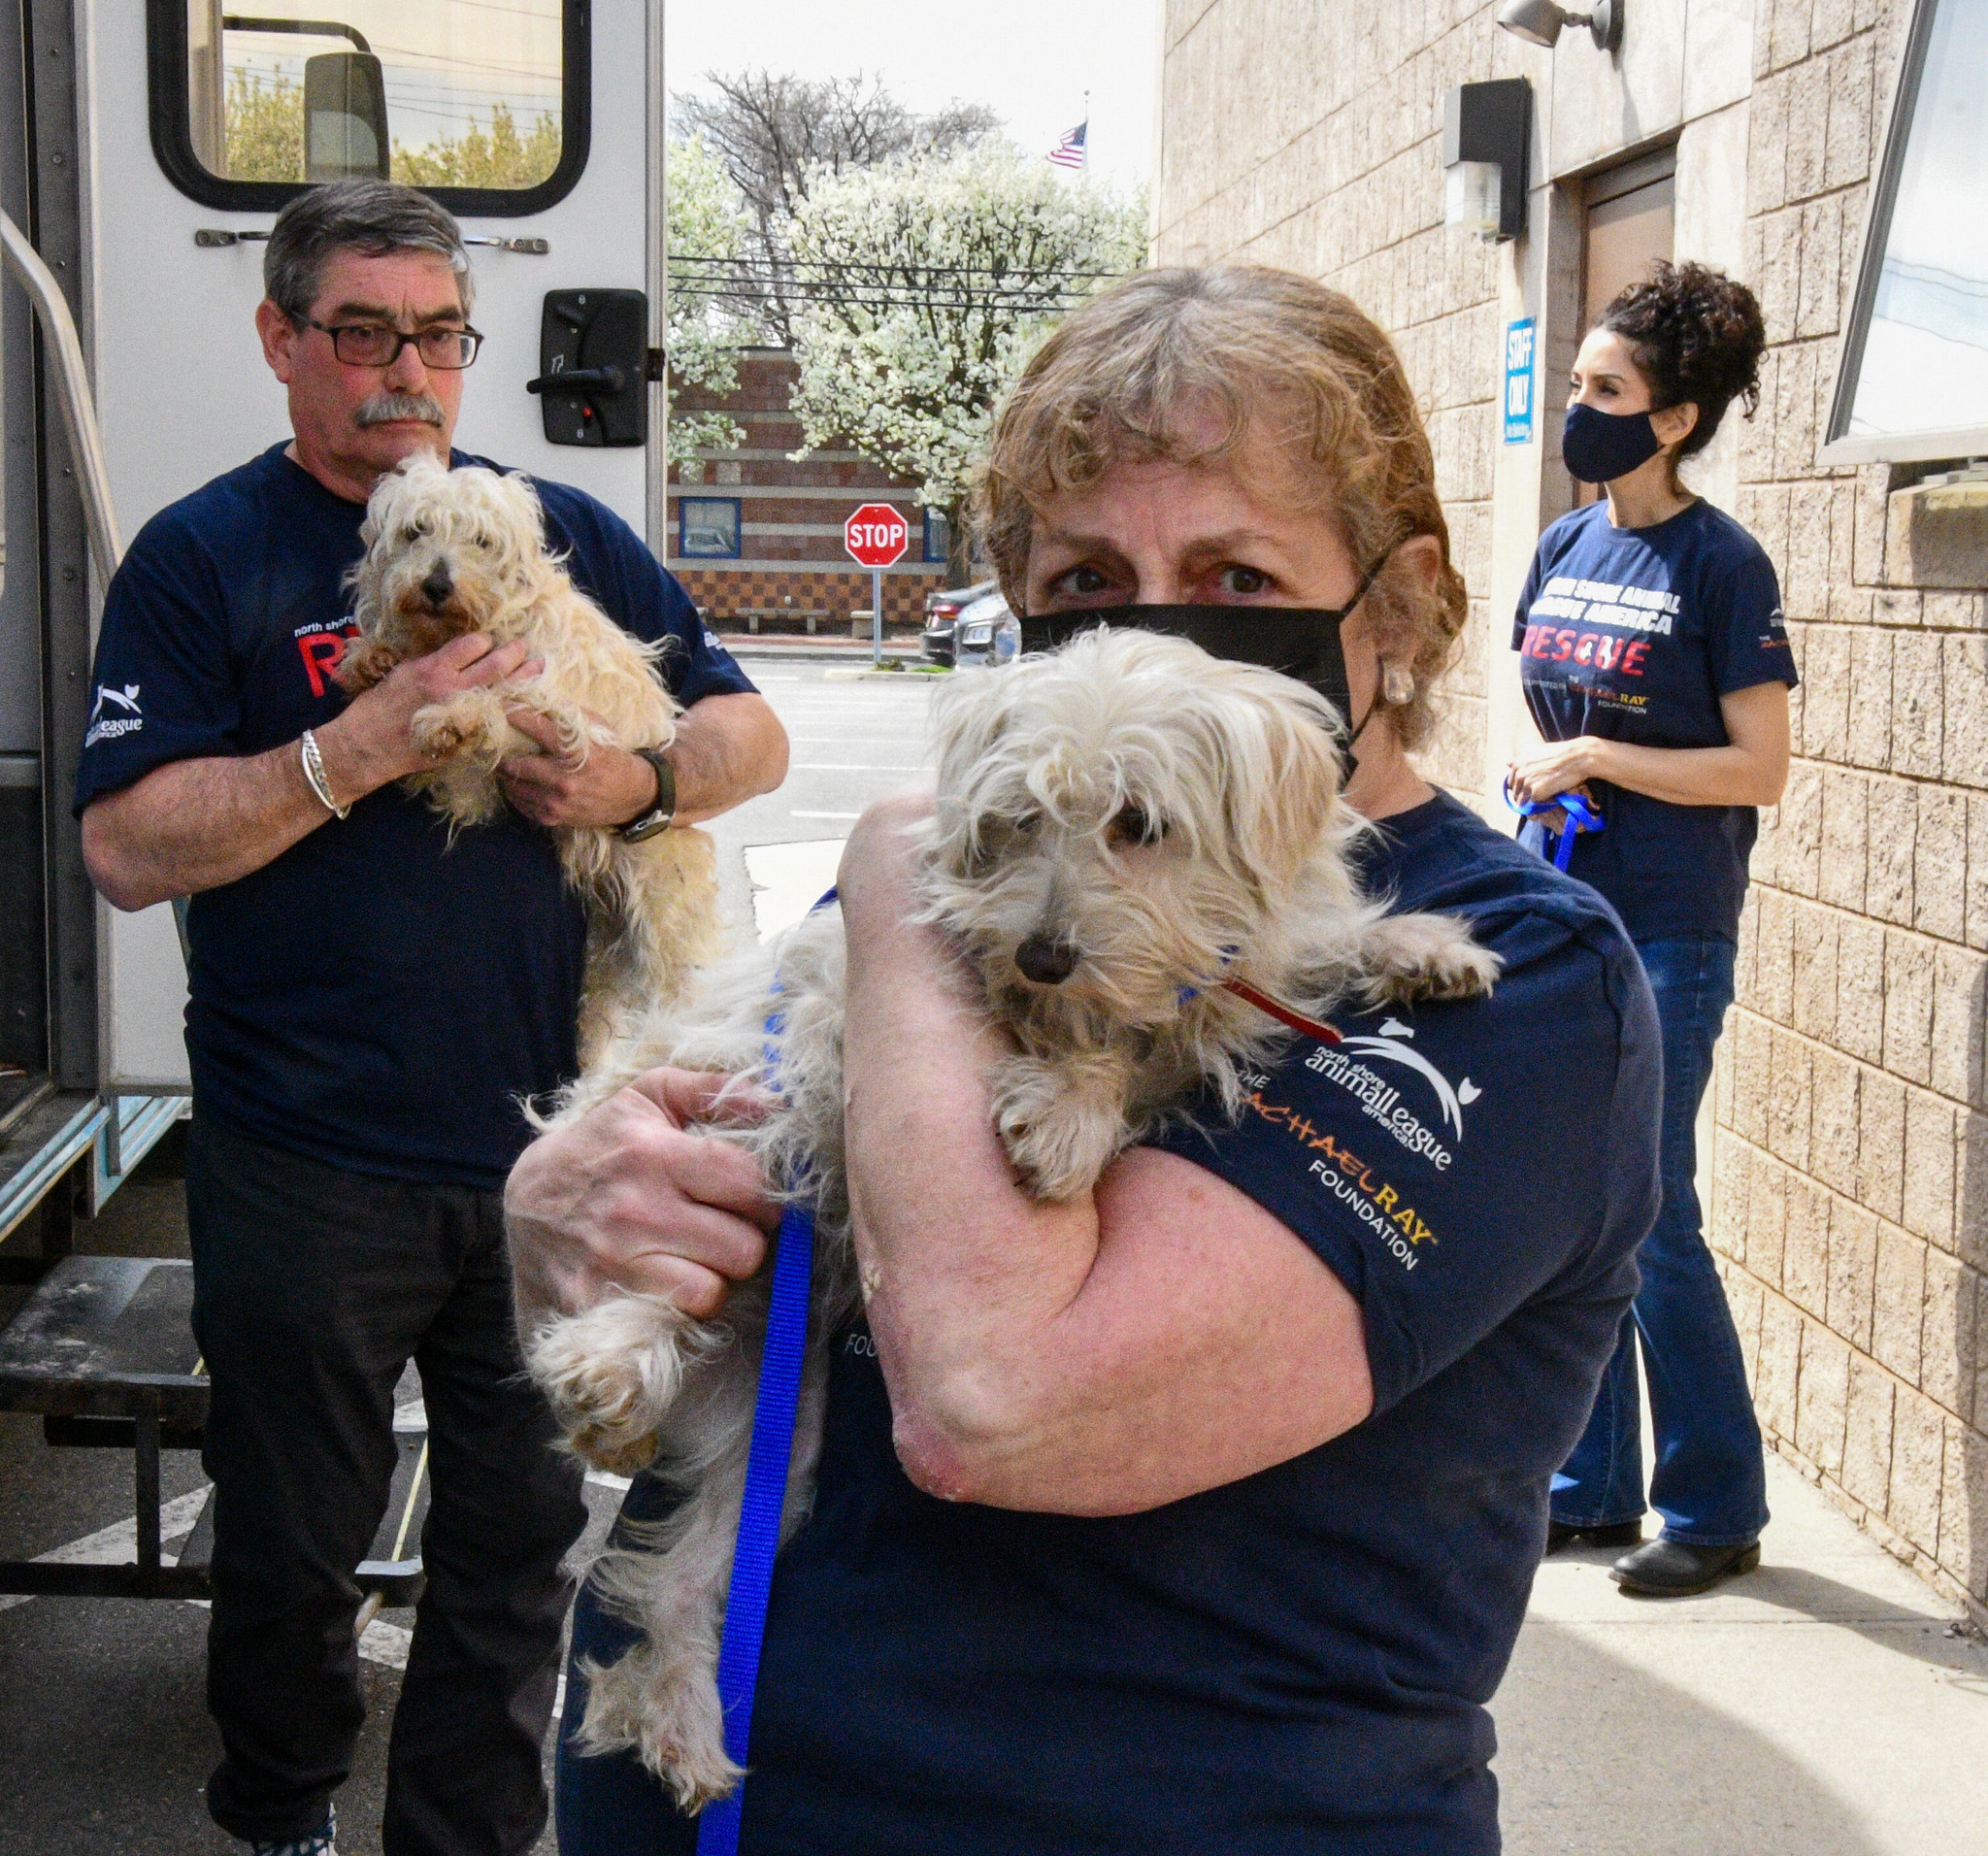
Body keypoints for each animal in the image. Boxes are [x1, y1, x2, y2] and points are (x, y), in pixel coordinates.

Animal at [336, 454, 723, 1057]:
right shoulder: (468, 788)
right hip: (599, 965)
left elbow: (501, 703)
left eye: (480, 540)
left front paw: (456, 714)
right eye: (417, 530)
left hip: (666, 933)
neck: (487, 621)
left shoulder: (564, 723)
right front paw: (370, 659)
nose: (436, 585)